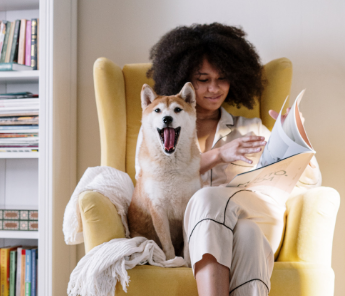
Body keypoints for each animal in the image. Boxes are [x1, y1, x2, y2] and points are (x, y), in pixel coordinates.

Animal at [127, 81, 200, 264]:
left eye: (177, 109)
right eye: (157, 110)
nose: (167, 119)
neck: (171, 168)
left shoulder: (187, 206)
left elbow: (187, 243)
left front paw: (188, 263)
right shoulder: (158, 209)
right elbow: (167, 244)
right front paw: (172, 261)